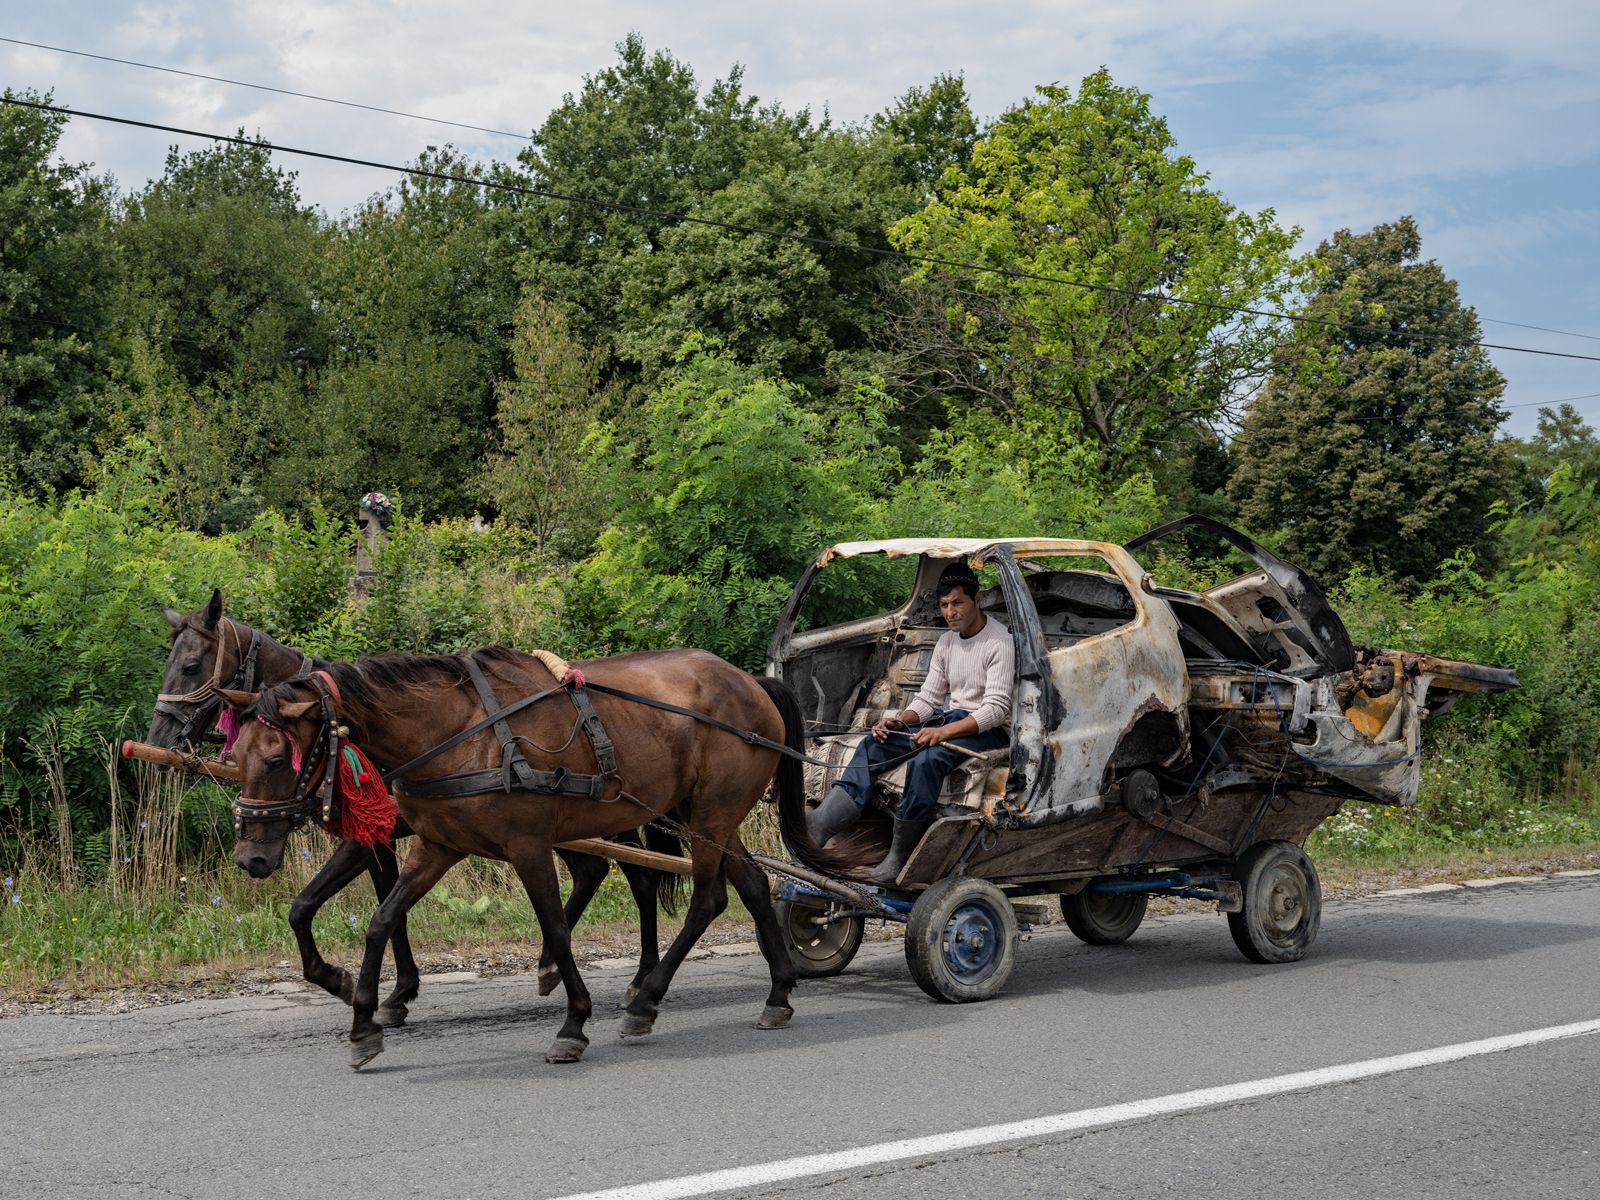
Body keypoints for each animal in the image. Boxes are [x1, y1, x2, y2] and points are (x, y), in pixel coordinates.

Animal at [149, 590, 683, 1023]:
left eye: (191, 665)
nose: (160, 735)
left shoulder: (375, 837)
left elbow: (340, 904)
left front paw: (375, 989)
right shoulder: (383, 838)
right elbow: (343, 906)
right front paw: (385, 989)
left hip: (607, 818)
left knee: (641, 880)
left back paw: (639, 978)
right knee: (594, 871)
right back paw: (552, 964)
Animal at [218, 644, 854, 1067]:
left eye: (275, 759)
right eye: (237, 749)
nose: (251, 856)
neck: (460, 732)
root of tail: (752, 682)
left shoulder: (526, 847)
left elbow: (554, 926)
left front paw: (573, 1022)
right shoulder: (436, 846)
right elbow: (378, 920)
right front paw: (364, 1019)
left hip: (708, 817)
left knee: (707, 898)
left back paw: (646, 998)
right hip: (707, 817)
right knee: (751, 884)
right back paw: (777, 992)